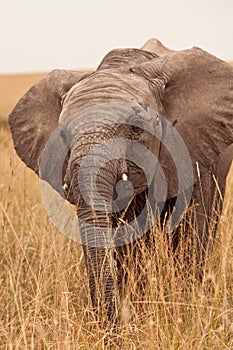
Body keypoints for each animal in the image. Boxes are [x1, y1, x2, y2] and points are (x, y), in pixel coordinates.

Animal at [8, 39, 232, 328]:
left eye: (136, 128)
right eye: (63, 135)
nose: (109, 328)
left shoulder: (194, 156)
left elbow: (191, 236)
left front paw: (186, 309)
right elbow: (127, 245)